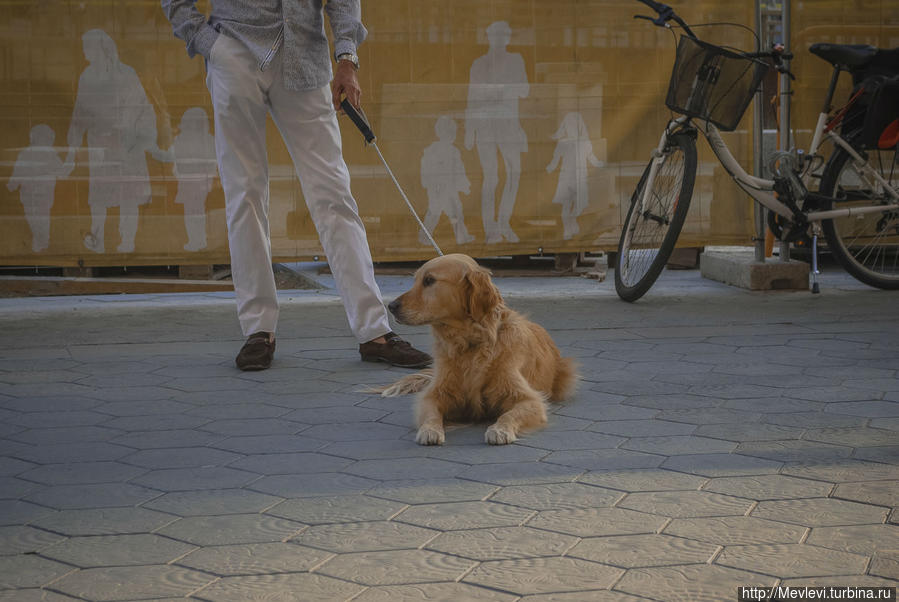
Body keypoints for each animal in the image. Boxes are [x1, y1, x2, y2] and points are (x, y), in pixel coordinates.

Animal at [378, 251, 576, 442]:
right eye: (416, 280)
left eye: (429, 280)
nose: (391, 306)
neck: (469, 344)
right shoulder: (434, 395)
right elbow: (431, 414)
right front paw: (429, 430)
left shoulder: (530, 399)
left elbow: (509, 415)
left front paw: (499, 430)